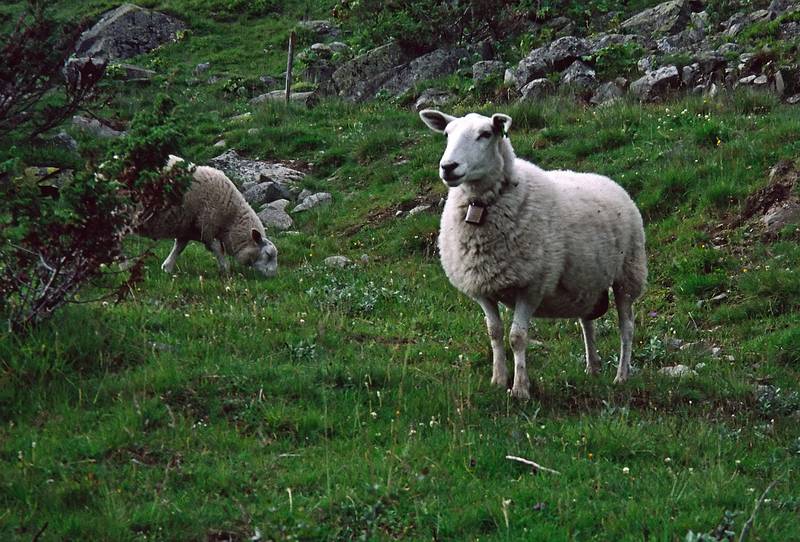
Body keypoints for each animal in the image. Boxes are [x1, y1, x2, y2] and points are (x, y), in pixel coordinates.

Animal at [136, 155, 276, 278]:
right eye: (268, 254)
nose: (273, 277)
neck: (231, 219)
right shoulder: (207, 225)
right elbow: (218, 249)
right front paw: (226, 271)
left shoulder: (187, 227)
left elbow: (179, 247)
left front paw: (167, 268)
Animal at [422, 109, 648, 400]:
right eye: (447, 134)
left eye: (486, 134)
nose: (448, 167)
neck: (480, 206)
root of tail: (608, 180)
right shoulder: (482, 287)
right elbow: (494, 333)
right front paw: (498, 380)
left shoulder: (531, 285)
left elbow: (517, 337)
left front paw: (520, 389)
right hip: (586, 282)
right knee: (587, 322)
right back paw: (593, 368)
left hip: (628, 273)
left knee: (626, 327)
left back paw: (622, 376)